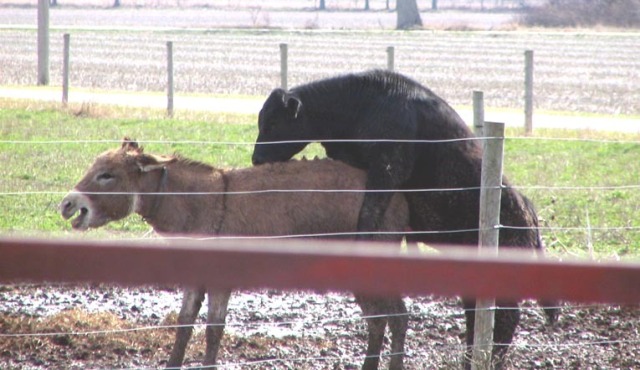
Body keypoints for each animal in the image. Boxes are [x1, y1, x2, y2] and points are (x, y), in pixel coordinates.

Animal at [251, 68, 556, 368]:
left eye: (273, 124)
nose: (256, 159)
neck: (363, 104)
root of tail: (530, 213)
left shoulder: (388, 168)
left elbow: (369, 211)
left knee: (506, 316)